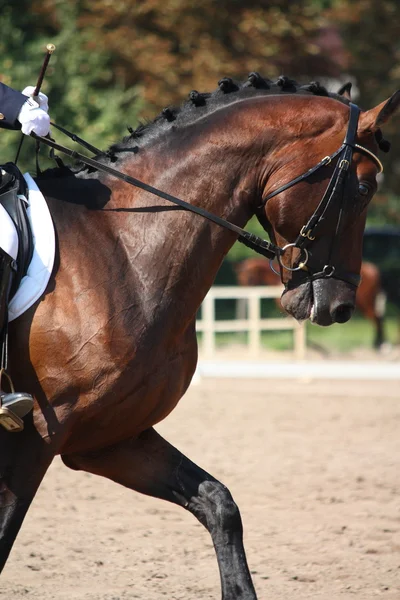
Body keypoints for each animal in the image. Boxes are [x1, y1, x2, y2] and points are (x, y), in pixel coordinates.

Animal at [236, 256, 386, 346]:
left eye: (248, 278)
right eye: (240, 279)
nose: (244, 295)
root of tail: (373, 269)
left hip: (365, 303)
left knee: (376, 319)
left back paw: (380, 345)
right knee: (378, 318)